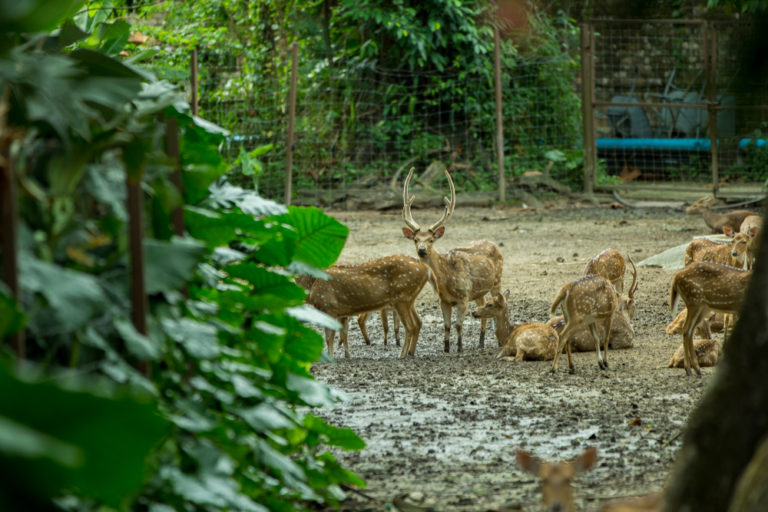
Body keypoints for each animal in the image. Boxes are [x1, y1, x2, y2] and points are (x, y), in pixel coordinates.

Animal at [298, 255, 428, 358]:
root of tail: (426, 270)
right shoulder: (341, 313)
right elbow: (343, 334)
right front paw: (348, 355)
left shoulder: (329, 307)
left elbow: (329, 338)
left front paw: (331, 357)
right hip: (409, 300)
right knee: (418, 322)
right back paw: (411, 353)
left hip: (402, 298)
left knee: (410, 326)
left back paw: (402, 355)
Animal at [401, 166, 503, 353]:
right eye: (416, 239)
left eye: (431, 240)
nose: (421, 250)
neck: (446, 280)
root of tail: (494, 244)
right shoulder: (444, 300)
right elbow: (447, 325)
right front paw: (446, 348)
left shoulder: (463, 296)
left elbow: (458, 325)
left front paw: (460, 348)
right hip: (478, 290)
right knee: (483, 305)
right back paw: (480, 343)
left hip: (497, 280)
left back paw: (498, 343)